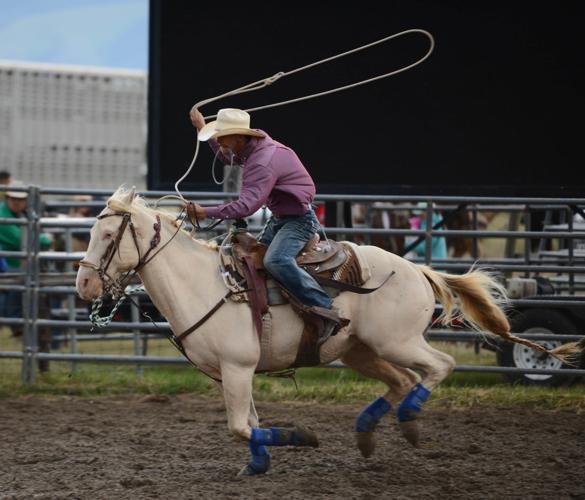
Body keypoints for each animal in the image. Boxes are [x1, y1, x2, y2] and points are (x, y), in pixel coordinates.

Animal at [74, 186, 580, 474]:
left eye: (108, 236)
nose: (83, 285)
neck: (203, 284)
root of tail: (417, 270)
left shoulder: (237, 368)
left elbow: (239, 426)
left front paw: (301, 438)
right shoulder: (235, 374)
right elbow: (249, 425)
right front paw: (260, 463)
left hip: (397, 341)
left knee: (438, 367)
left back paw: (410, 423)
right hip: (360, 351)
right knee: (402, 381)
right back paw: (367, 433)